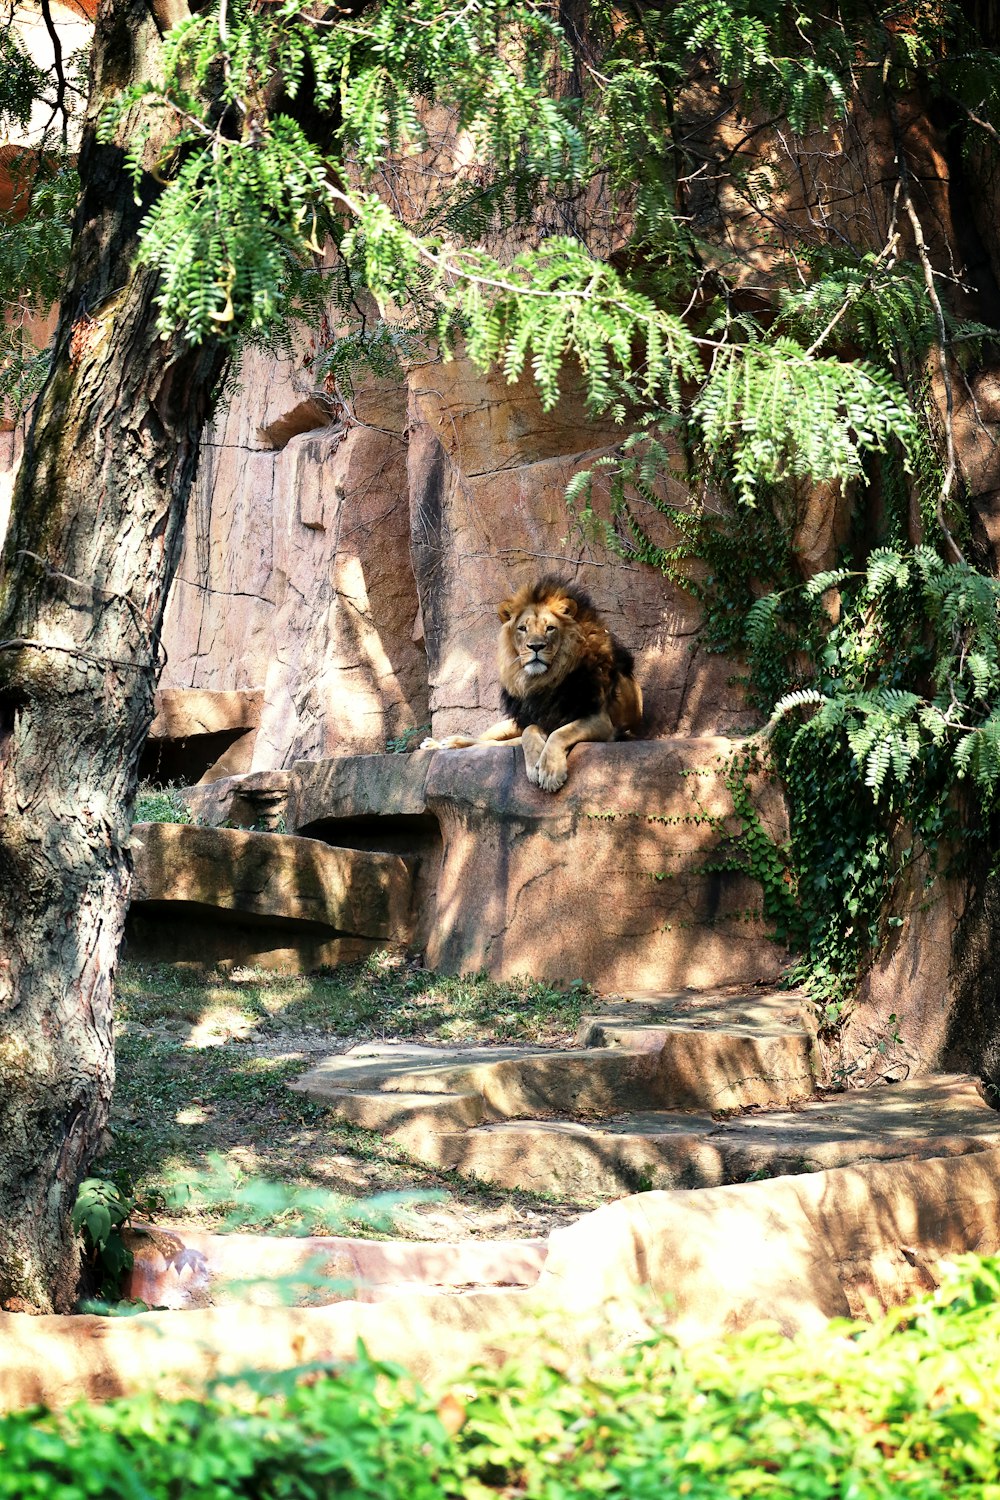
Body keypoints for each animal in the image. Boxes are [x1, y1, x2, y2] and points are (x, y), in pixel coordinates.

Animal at [419, 573, 641, 792]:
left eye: (550, 628)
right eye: (522, 628)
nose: (535, 646)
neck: (545, 680)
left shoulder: (601, 720)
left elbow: (560, 733)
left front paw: (550, 772)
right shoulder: (538, 719)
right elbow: (529, 731)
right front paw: (536, 764)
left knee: (491, 744)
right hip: (507, 725)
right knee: (486, 739)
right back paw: (441, 743)